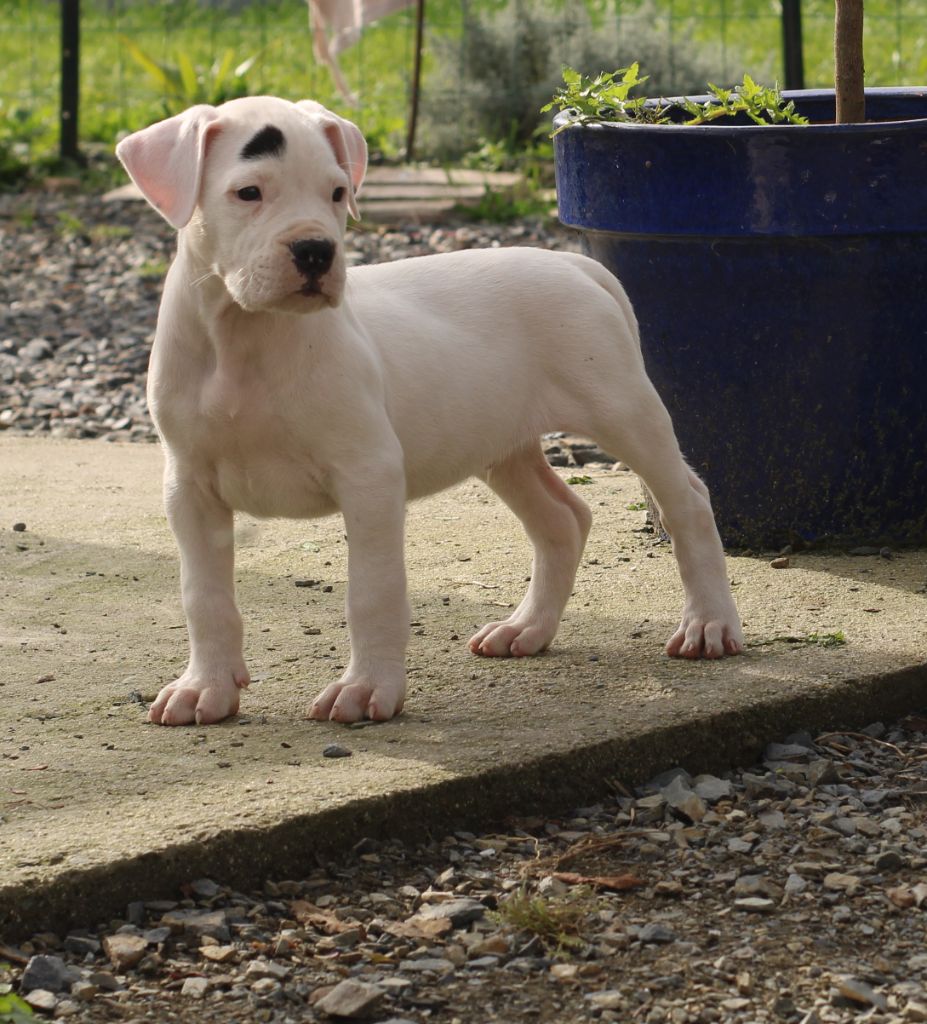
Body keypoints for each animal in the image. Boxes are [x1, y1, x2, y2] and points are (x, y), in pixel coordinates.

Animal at [115, 92, 741, 724]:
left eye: (336, 193)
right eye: (248, 193)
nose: (316, 251)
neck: (245, 338)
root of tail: (574, 264)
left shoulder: (369, 476)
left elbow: (372, 591)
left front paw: (367, 687)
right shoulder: (190, 491)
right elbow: (204, 596)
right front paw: (206, 687)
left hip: (623, 411)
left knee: (688, 500)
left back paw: (709, 623)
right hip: (501, 444)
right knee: (562, 519)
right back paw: (527, 628)